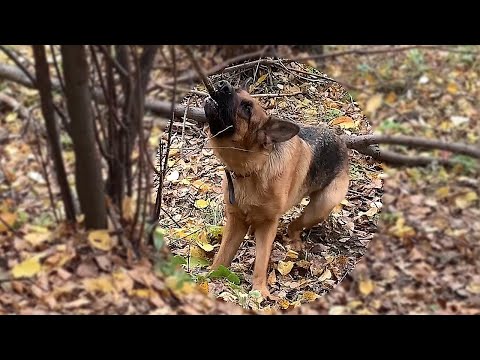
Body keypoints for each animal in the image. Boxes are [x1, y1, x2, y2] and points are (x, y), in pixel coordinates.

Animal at [203, 80, 348, 300]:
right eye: (236, 89)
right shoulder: (235, 221)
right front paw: (209, 278)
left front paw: (259, 291)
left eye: (247, 108)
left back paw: (294, 240)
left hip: (321, 207)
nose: (222, 84)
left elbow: (261, 260)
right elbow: (222, 257)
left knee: (295, 224)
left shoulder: (268, 225)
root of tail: (341, 140)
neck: (253, 169)